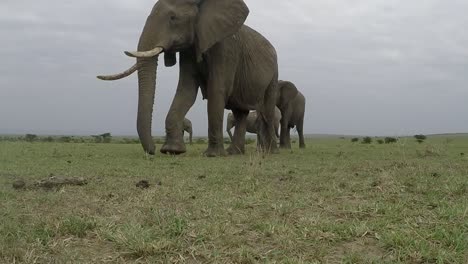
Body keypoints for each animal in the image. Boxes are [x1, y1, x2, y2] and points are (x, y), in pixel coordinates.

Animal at [96, 0, 278, 157]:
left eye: (172, 18)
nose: (152, 150)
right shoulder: (190, 48)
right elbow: (186, 89)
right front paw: (172, 151)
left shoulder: (226, 49)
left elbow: (217, 90)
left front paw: (212, 155)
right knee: (240, 112)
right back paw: (235, 153)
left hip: (274, 73)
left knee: (267, 112)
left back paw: (270, 152)